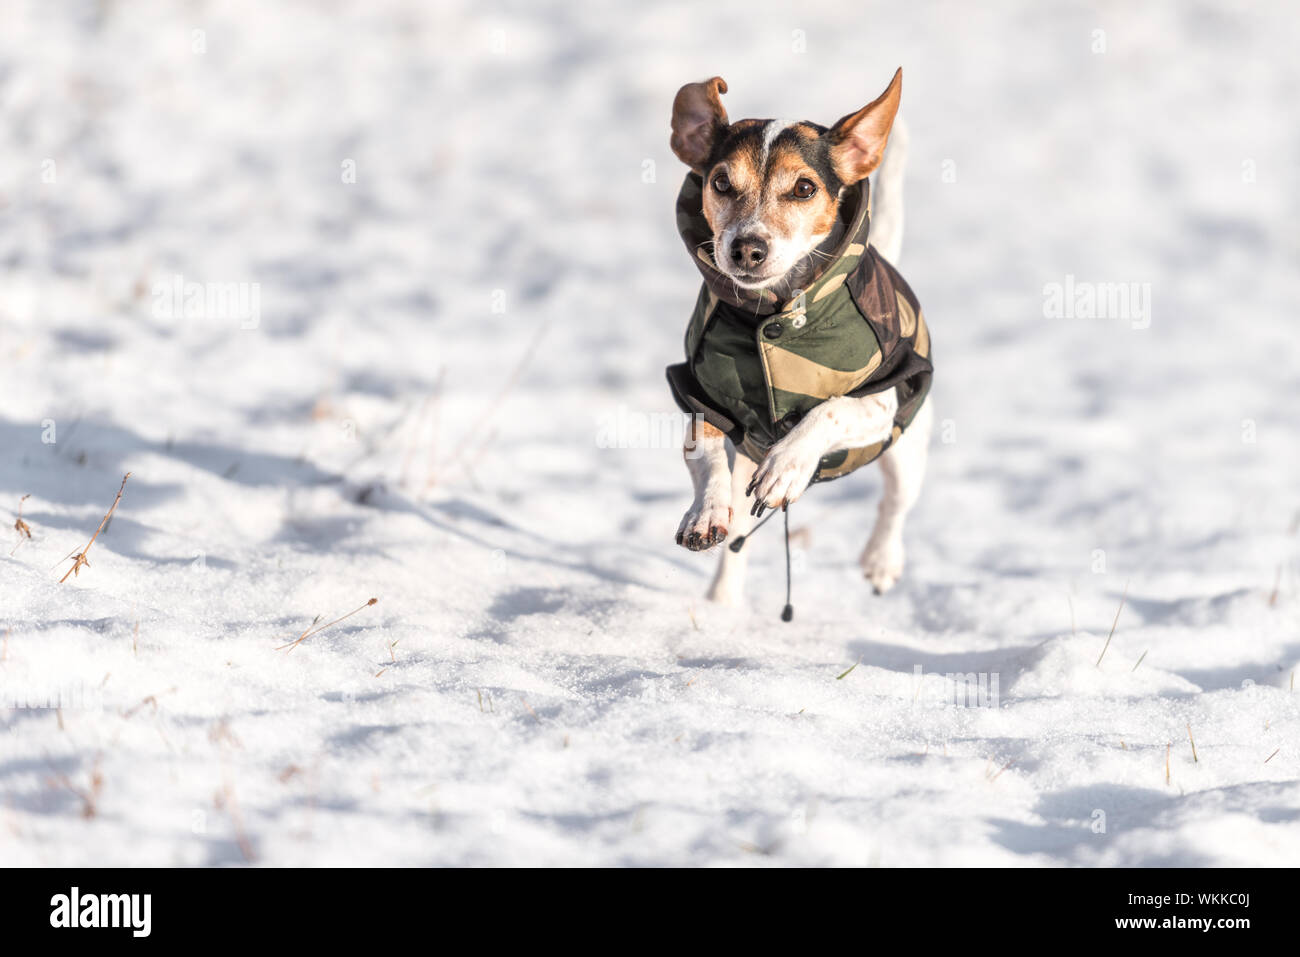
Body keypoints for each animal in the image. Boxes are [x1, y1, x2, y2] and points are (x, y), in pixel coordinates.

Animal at [665, 69, 930, 605]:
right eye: (720, 182)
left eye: (804, 188)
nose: (747, 248)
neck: (773, 316)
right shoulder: (699, 395)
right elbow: (705, 451)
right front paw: (705, 512)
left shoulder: (881, 401)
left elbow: (831, 409)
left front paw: (787, 464)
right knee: (739, 536)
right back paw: (722, 602)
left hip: (907, 448)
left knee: (895, 504)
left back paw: (881, 560)